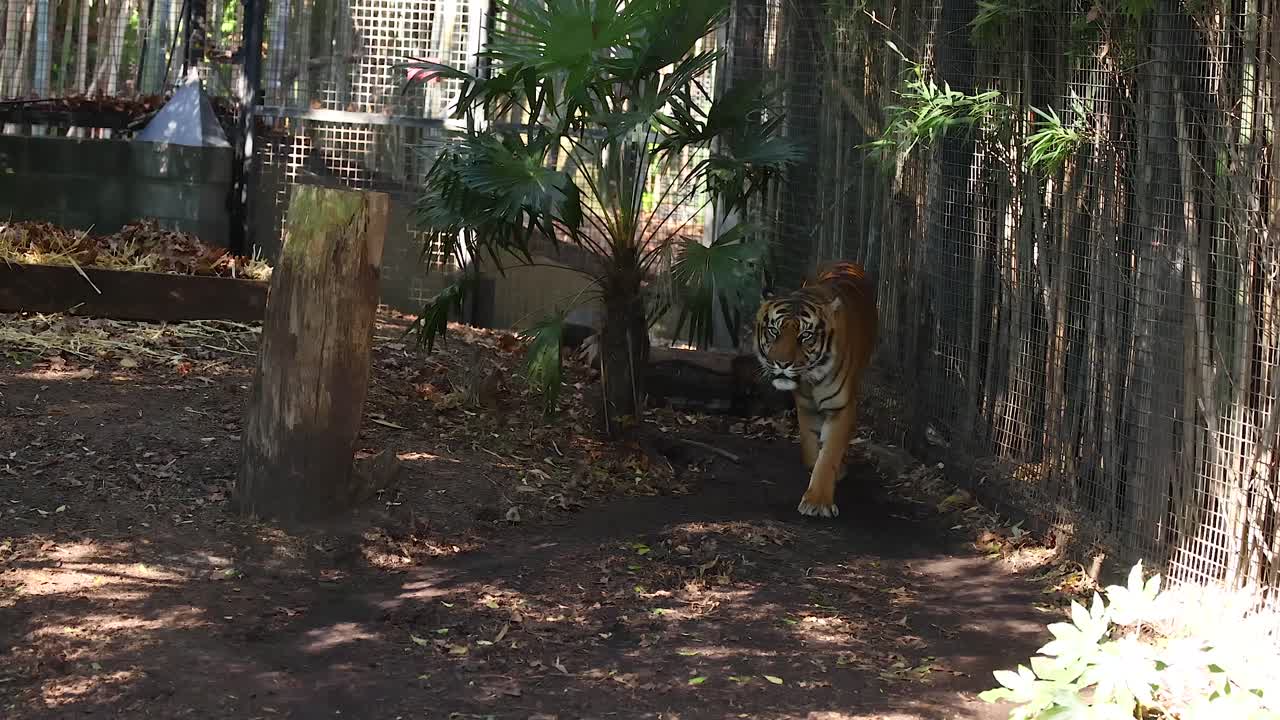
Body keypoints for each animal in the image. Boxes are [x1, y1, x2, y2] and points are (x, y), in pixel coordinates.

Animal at [753, 261, 879, 518]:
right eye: (774, 331)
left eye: (805, 336)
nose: (782, 364)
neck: (811, 380)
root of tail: (847, 264)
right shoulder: (805, 406)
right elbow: (811, 446)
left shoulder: (841, 408)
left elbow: (828, 455)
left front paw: (818, 501)